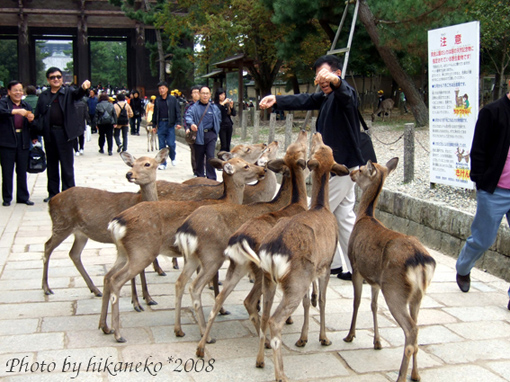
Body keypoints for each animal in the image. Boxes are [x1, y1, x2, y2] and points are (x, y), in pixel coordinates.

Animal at [42, 147, 170, 302]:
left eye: (147, 164)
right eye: (132, 164)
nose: (129, 174)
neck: (138, 201)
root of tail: (51, 202)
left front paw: (147, 297)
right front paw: (138, 300)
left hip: (80, 233)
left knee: (74, 253)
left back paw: (95, 290)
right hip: (61, 224)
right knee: (48, 246)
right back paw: (47, 288)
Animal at [99, 157, 266, 342]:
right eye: (246, 165)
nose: (263, 170)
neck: (227, 201)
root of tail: (116, 223)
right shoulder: (213, 253)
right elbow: (211, 280)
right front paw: (221, 310)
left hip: (123, 252)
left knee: (108, 277)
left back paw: (105, 326)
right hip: (142, 251)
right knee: (118, 279)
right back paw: (120, 331)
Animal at [255, 132, 350, 382]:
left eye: (323, 147)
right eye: (309, 150)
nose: (313, 132)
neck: (320, 206)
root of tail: (272, 250)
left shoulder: (312, 271)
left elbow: (309, 302)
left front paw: (303, 338)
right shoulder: (326, 264)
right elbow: (323, 300)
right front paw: (323, 338)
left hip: (269, 279)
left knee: (263, 313)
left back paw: (260, 361)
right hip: (296, 280)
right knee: (274, 319)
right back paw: (281, 374)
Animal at [340, 157, 436, 382]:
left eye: (361, 169)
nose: (350, 172)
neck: (365, 216)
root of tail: (421, 261)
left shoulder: (356, 266)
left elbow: (357, 302)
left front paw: (350, 335)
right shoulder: (375, 280)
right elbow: (374, 306)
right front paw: (377, 342)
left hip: (394, 290)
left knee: (411, 329)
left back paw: (401, 376)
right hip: (417, 295)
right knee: (417, 327)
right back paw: (416, 374)